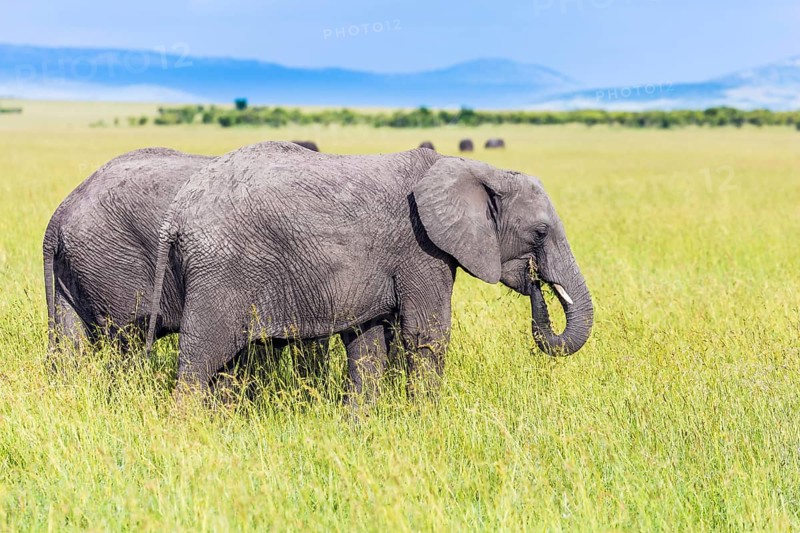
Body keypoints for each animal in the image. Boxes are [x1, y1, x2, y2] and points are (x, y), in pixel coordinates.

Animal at [146, 141, 593, 404]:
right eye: (540, 232)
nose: (536, 282)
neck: (478, 169)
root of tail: (177, 212)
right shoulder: (420, 246)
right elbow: (427, 334)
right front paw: (427, 420)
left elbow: (368, 340)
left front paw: (361, 423)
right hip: (221, 269)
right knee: (202, 355)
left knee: (225, 363)